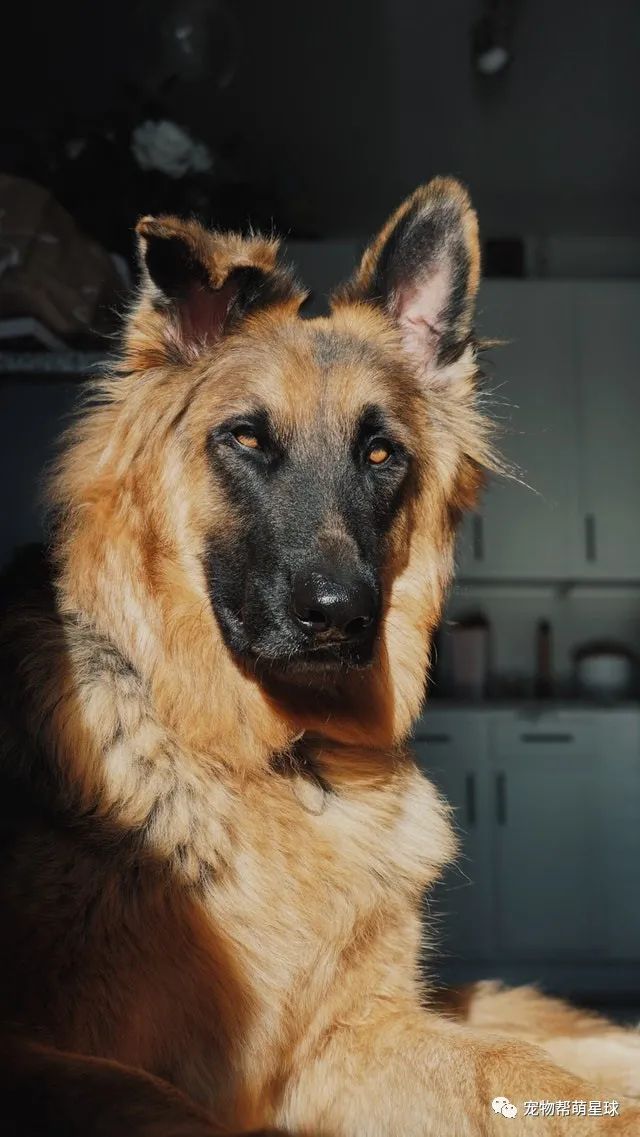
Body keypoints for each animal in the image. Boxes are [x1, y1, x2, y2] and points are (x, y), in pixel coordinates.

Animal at [1, 179, 640, 1137]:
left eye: (381, 454)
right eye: (245, 439)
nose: (343, 619)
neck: (279, 761)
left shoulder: (340, 1038)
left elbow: (513, 1066)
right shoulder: (57, 1058)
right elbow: (153, 1104)